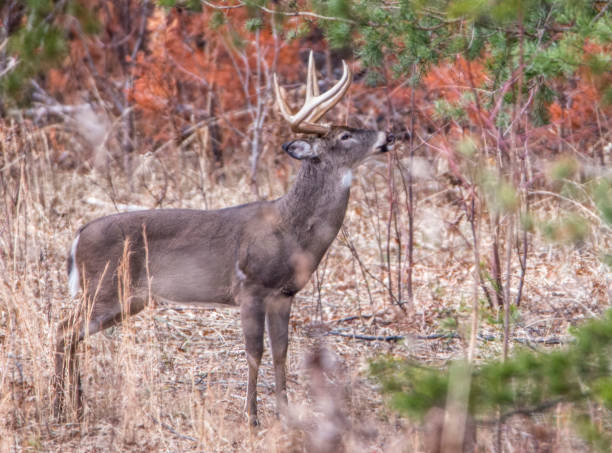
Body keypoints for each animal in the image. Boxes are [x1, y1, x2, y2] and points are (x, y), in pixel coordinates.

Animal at [55, 51, 394, 426]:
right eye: (346, 135)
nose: (390, 135)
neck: (291, 230)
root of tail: (78, 237)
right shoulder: (250, 287)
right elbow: (254, 352)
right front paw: (252, 417)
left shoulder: (284, 294)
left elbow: (281, 352)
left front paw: (286, 413)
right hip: (104, 287)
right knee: (63, 331)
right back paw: (63, 407)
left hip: (127, 298)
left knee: (69, 334)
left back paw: (74, 405)